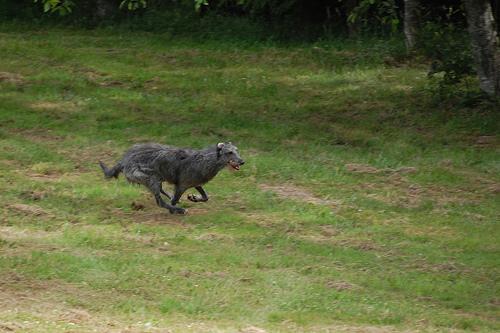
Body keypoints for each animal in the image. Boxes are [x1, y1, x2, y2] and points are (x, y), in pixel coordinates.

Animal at [99, 141, 244, 214]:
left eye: (237, 150)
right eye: (229, 152)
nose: (242, 161)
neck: (207, 159)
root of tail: (124, 159)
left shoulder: (195, 183)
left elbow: (205, 197)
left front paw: (194, 198)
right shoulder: (182, 185)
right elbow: (175, 199)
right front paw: (174, 209)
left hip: (155, 178)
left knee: (162, 191)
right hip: (150, 177)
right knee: (160, 201)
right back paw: (176, 209)